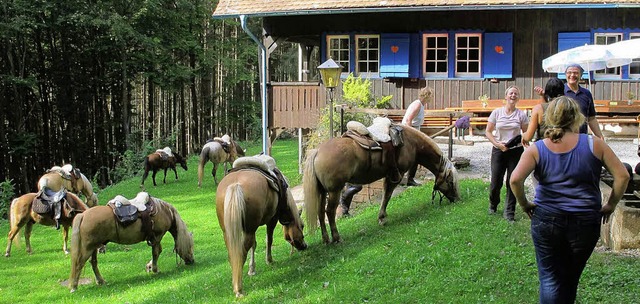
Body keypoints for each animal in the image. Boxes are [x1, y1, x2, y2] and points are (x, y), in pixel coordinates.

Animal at [216, 157, 308, 296]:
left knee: (234, 253)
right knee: (242, 252)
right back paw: (239, 288)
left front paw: (252, 269)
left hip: (229, 232)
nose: (304, 246)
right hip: (249, 229)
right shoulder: (272, 219)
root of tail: (235, 185)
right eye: (302, 226)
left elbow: (254, 245)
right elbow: (268, 240)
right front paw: (269, 260)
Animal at [302, 124, 458, 243]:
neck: (411, 142)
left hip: (323, 191)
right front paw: (382, 218)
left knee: (320, 212)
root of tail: (317, 152)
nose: (457, 199)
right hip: (335, 190)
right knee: (329, 212)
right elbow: (387, 195)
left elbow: (385, 195)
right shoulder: (396, 175)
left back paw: (326, 239)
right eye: (450, 181)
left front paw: (382, 217)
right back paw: (336, 237)